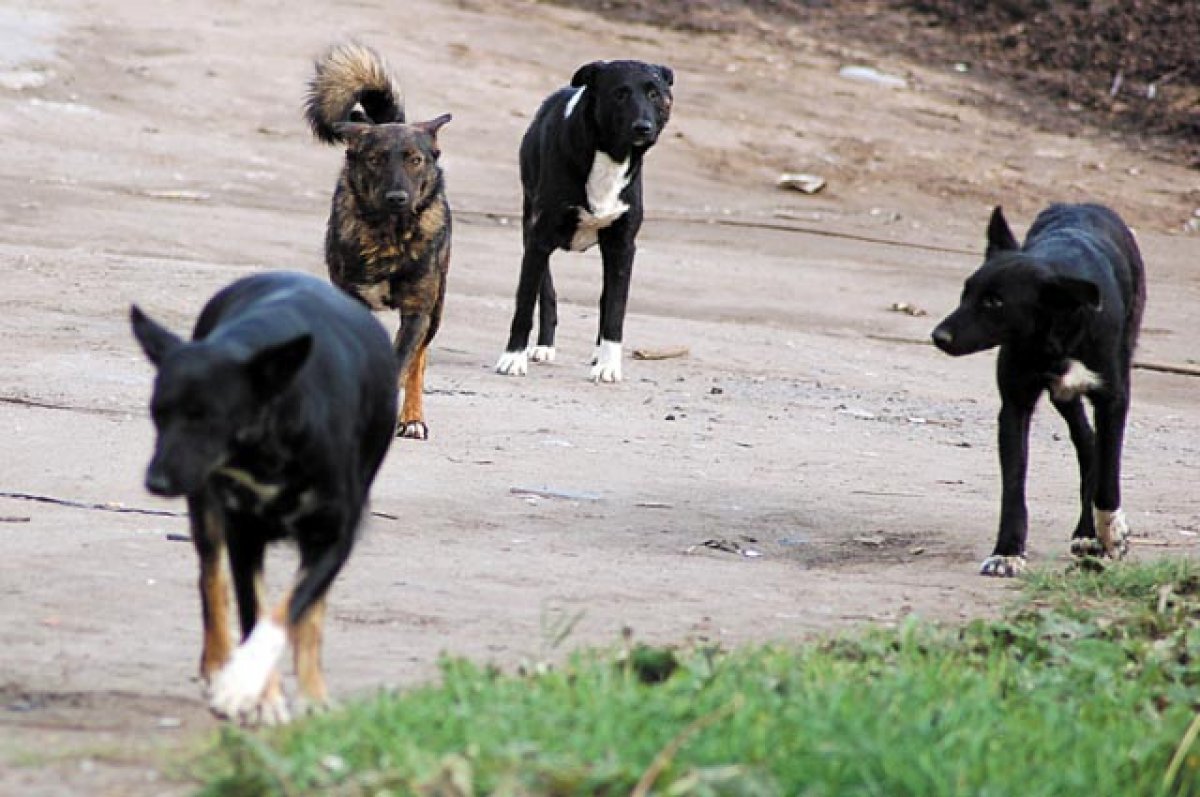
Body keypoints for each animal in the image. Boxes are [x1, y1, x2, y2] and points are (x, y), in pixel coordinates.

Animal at [130, 271, 396, 724]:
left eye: (208, 418)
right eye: (157, 413)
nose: (157, 481)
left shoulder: (334, 538)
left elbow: (287, 613)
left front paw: (246, 682)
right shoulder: (244, 535)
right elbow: (254, 610)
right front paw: (260, 694)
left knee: (310, 612)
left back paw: (312, 691)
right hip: (206, 506)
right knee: (211, 579)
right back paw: (218, 662)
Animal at [302, 42, 451, 441]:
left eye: (415, 160)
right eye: (375, 159)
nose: (397, 197)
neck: (389, 234)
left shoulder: (417, 311)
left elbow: (403, 363)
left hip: (435, 309)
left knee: (418, 362)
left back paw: (412, 418)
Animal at [492, 59, 672, 384]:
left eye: (655, 94)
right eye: (620, 93)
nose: (643, 127)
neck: (610, 156)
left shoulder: (622, 247)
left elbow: (615, 308)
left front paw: (609, 364)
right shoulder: (538, 238)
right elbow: (526, 301)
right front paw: (513, 357)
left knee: (604, 299)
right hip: (529, 225)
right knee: (545, 290)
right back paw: (543, 345)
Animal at [931, 204, 1147, 578]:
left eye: (994, 302)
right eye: (966, 292)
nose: (938, 336)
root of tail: (1081, 204)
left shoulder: (1113, 399)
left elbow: (1109, 476)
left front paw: (1113, 532)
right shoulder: (1015, 405)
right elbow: (1013, 485)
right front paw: (1007, 552)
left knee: (1097, 451)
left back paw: (1094, 534)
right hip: (1063, 395)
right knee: (1086, 442)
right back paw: (1086, 531)